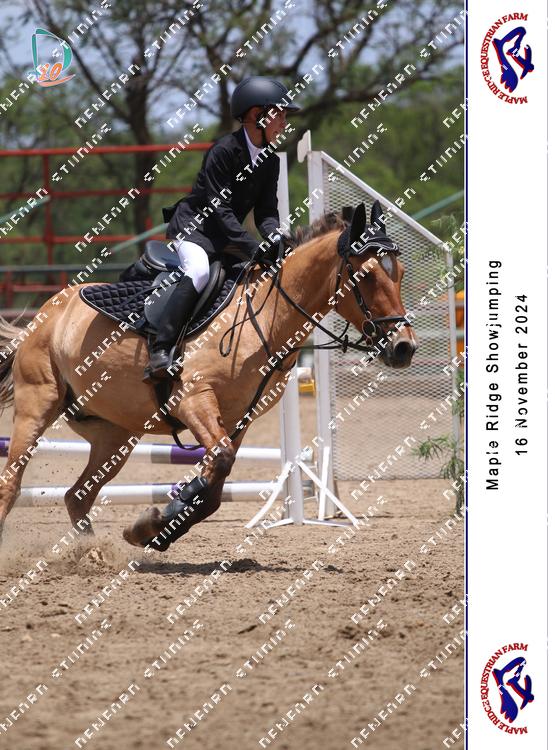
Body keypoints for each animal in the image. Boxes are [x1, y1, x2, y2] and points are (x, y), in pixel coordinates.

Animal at [0, 202, 417, 551]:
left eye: (400, 274)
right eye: (366, 276)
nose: (404, 348)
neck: (265, 317)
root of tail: (48, 312)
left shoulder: (237, 419)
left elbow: (216, 485)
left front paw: (154, 528)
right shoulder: (192, 399)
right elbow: (218, 463)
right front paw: (160, 520)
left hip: (114, 434)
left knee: (78, 495)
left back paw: (91, 554)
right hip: (37, 406)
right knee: (12, 484)